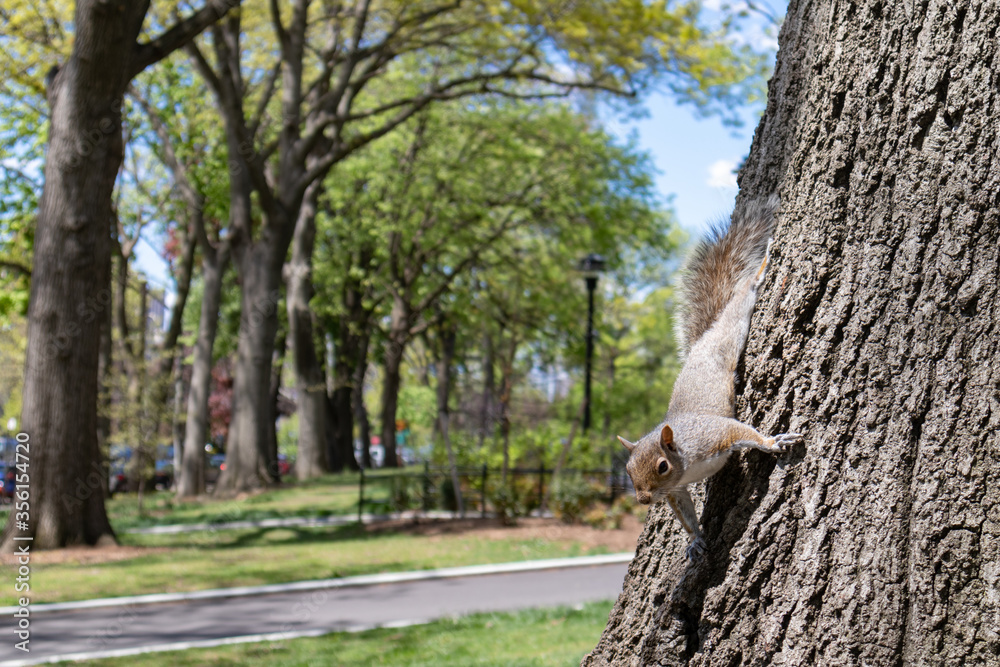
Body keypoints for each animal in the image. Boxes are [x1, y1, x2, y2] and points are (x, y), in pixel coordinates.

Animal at [617, 195, 802, 560]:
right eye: (628, 470)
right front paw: (695, 540)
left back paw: (760, 273)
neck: (686, 462)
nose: (644, 499)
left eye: (662, 466)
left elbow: (744, 432)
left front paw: (772, 443)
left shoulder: (716, 435)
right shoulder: (676, 491)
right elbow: (686, 515)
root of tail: (699, 346)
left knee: (740, 303)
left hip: (729, 335)